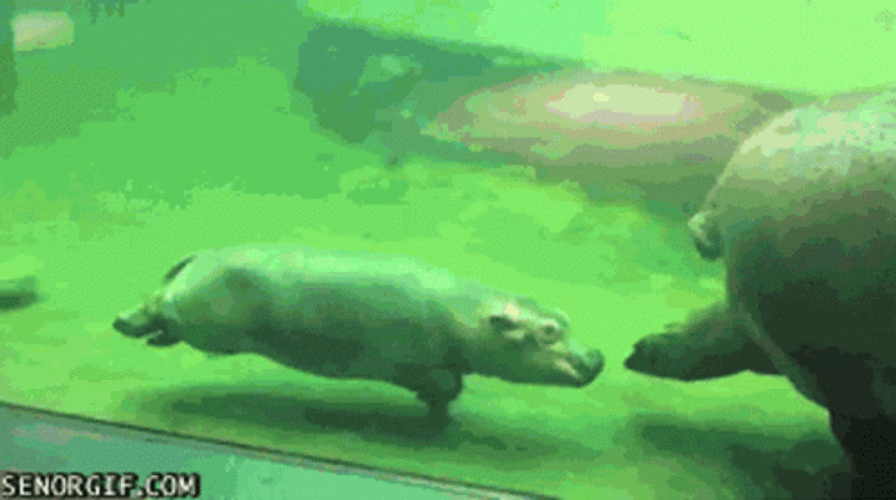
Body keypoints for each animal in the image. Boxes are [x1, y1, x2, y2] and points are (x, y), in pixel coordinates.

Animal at [113, 244, 604, 426]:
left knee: (158, 310)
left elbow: (451, 385)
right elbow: (446, 384)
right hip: (204, 325)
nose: (597, 357)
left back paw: (139, 330)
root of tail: (196, 256)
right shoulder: (417, 362)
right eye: (548, 332)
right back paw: (130, 325)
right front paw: (436, 411)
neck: (475, 316)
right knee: (157, 307)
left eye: (563, 318)